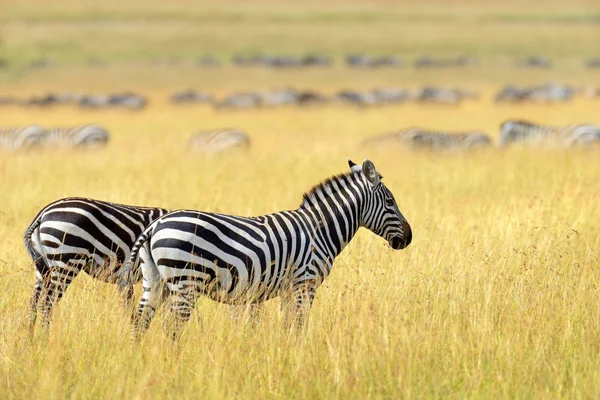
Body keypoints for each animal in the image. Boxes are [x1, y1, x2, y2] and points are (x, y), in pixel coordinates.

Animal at [23, 197, 169, 332]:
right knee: (46, 304)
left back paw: (30, 341)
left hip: (43, 267)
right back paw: (44, 340)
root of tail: (43, 212)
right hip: (66, 263)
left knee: (33, 304)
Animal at [122, 158, 412, 340]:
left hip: (154, 280)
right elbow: (299, 325)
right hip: (187, 281)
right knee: (171, 327)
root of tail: (156, 226)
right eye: (390, 201)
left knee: (140, 321)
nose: (408, 237)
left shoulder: (289, 287)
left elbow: (289, 325)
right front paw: (298, 355)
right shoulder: (305, 282)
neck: (320, 230)